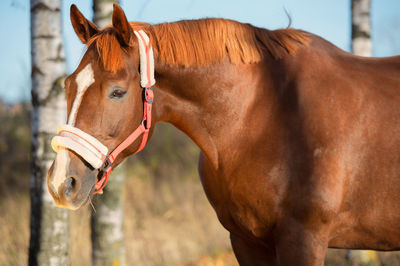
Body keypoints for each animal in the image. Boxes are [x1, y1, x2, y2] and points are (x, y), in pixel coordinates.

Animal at [47, 4, 400, 266]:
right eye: (67, 85)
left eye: (118, 92)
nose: (61, 183)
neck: (264, 113)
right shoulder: (246, 240)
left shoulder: (304, 239)